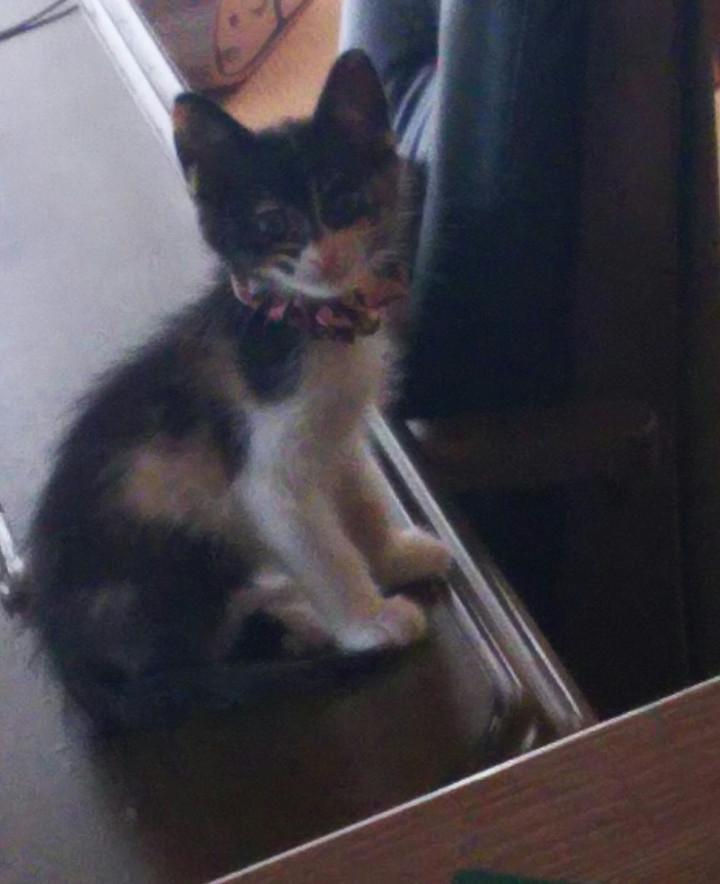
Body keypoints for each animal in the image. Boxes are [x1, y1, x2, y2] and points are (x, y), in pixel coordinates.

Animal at [23, 49, 450, 731]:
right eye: (273, 223)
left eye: (345, 198)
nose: (327, 260)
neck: (306, 323)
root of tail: (71, 658)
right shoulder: (268, 467)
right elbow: (322, 547)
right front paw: (367, 619)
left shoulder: (338, 432)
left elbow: (358, 498)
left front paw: (391, 557)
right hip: (174, 545)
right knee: (192, 650)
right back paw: (296, 617)